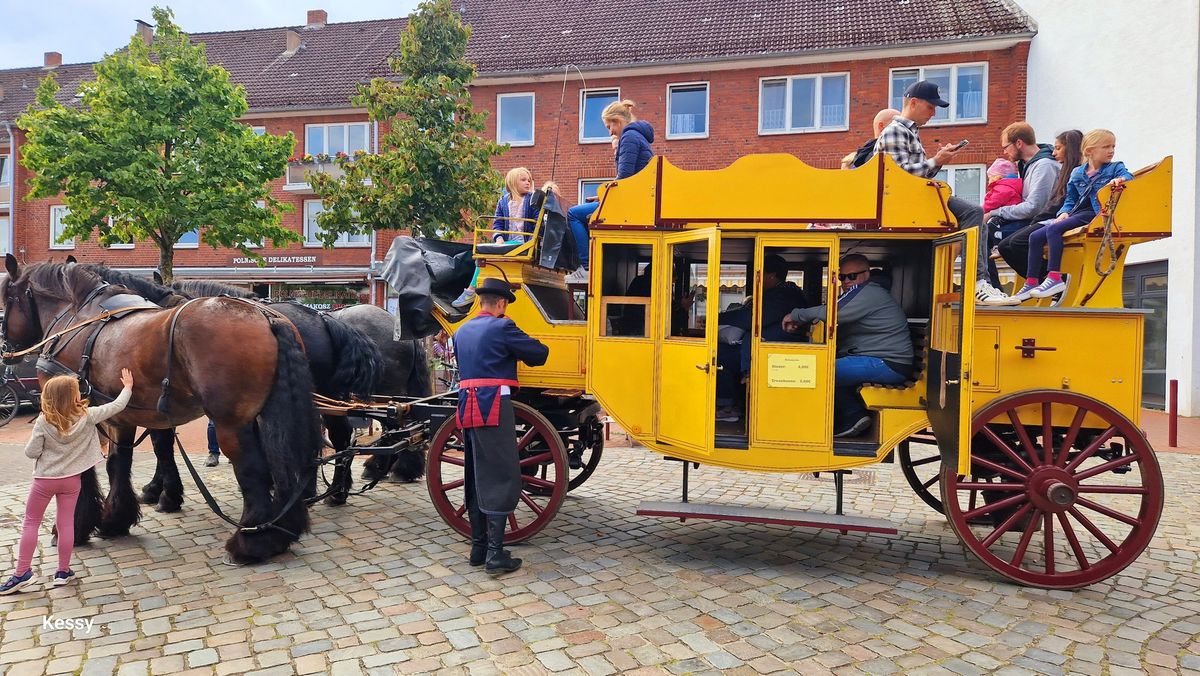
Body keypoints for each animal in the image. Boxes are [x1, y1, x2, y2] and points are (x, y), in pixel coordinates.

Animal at [0, 256, 324, 564]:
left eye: (6, 298)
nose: (5, 350)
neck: (79, 318)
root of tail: (266, 317)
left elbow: (88, 468)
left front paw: (76, 528)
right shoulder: (121, 414)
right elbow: (120, 463)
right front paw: (116, 518)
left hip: (231, 423)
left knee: (253, 468)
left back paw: (252, 543)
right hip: (268, 417)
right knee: (283, 463)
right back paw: (283, 529)